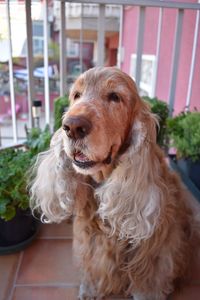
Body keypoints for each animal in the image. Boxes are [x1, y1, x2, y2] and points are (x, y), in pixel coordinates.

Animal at [29, 67, 200, 300]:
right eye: (76, 95)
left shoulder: (153, 258)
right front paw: (88, 290)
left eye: (115, 97)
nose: (72, 126)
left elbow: (147, 285)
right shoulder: (89, 242)